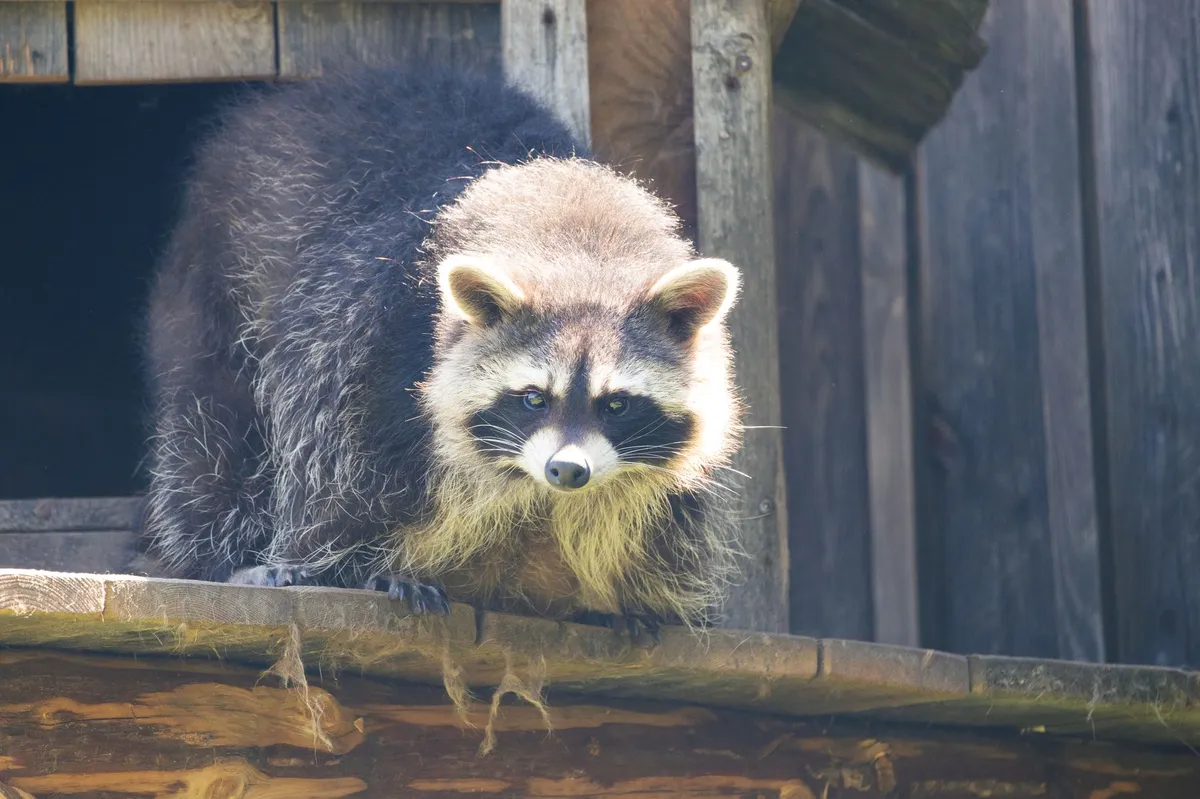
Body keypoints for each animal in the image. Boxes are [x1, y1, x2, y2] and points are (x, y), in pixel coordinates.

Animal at [135, 65, 745, 633]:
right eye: (533, 398)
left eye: (616, 404)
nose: (567, 471)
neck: (584, 249)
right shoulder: (367, 334)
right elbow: (334, 474)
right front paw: (363, 565)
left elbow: (662, 519)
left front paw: (622, 594)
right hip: (217, 284)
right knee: (215, 428)